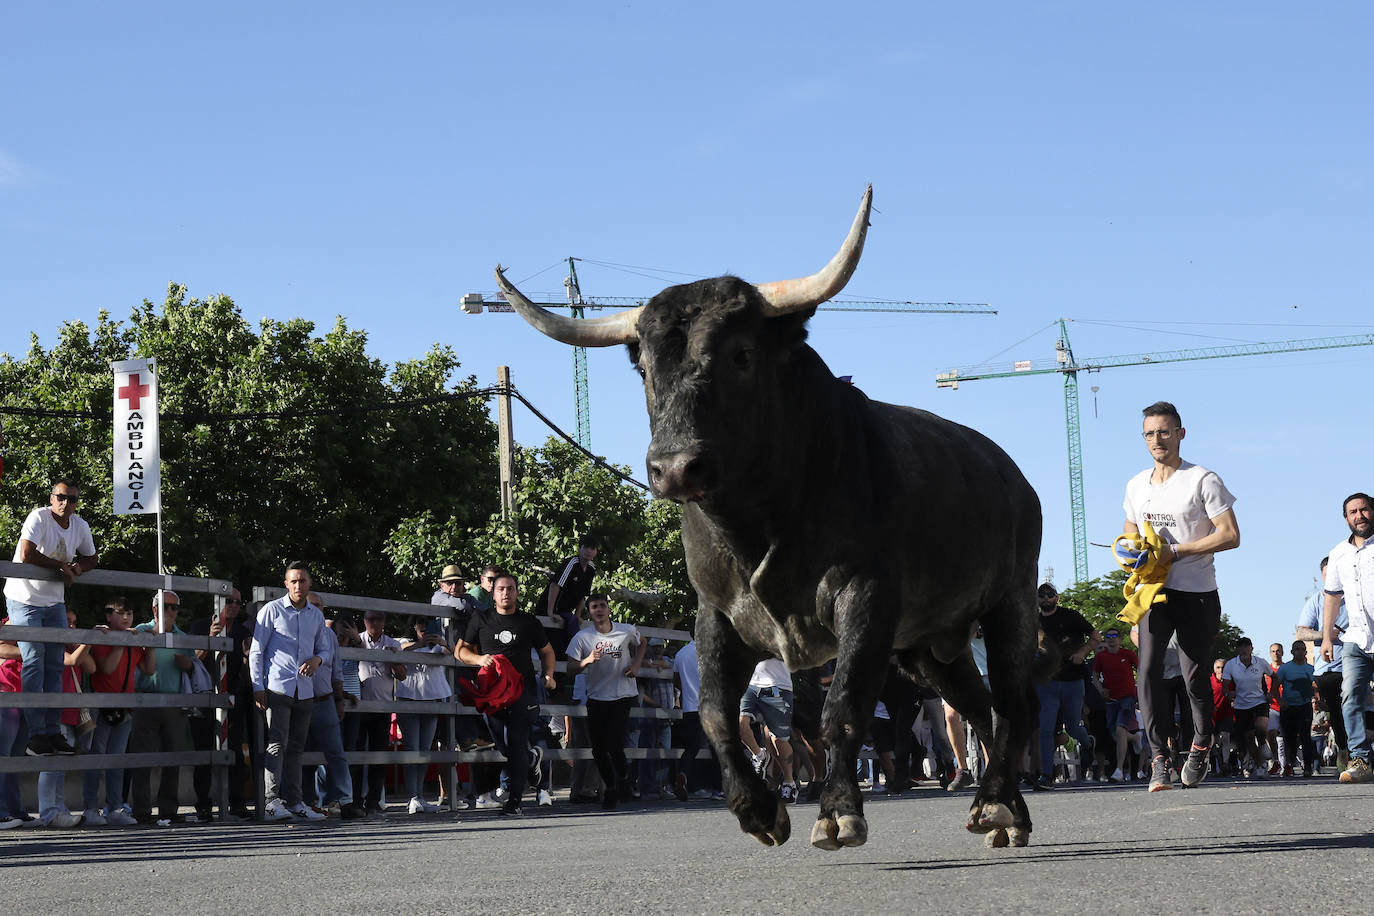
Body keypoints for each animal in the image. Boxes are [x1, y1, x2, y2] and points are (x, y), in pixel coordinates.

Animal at [500, 188, 1044, 851]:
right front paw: (758, 810)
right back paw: (1004, 810)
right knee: (981, 707)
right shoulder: (715, 613)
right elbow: (713, 712)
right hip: (927, 647)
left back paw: (998, 804)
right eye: (646, 368)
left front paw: (838, 811)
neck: (758, 519)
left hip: (1010, 601)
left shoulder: (867, 598)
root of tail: (1012, 475)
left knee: (1013, 701)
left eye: (741, 355)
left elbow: (843, 707)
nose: (675, 467)